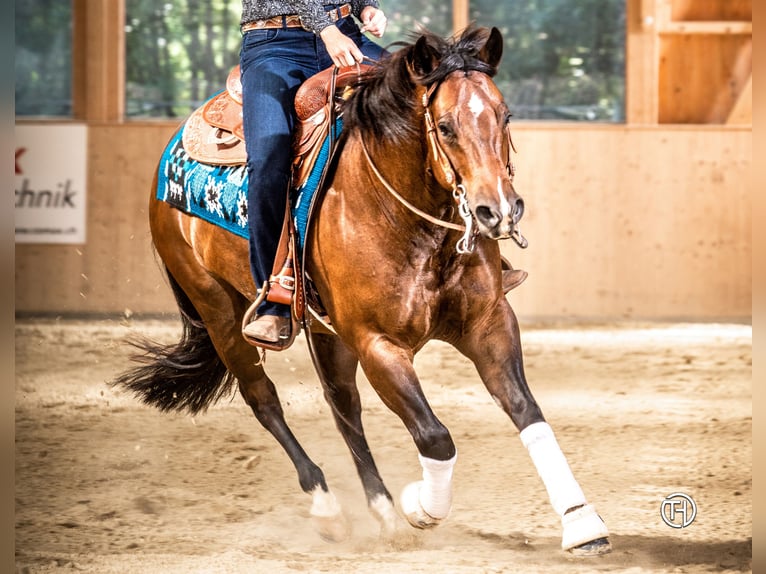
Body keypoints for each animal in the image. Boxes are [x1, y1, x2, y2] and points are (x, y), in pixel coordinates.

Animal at [113, 25, 611, 555]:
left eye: (505, 116)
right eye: (446, 127)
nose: (497, 210)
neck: (404, 216)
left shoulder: (488, 324)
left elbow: (527, 412)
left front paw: (581, 522)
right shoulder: (379, 344)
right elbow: (435, 436)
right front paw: (421, 507)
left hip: (326, 334)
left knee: (342, 407)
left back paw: (382, 511)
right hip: (218, 309)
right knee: (263, 398)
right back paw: (328, 506)